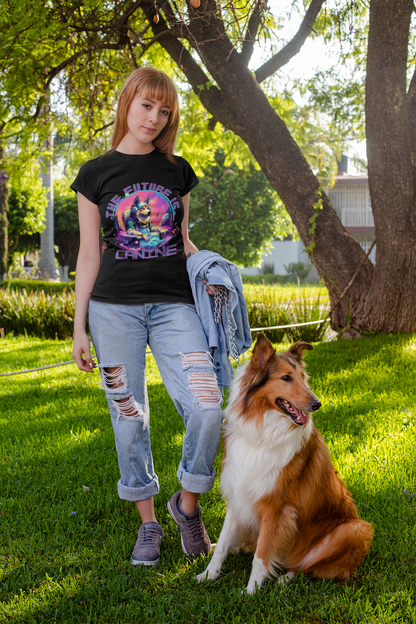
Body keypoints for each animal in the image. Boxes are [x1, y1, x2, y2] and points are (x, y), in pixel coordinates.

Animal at [197, 334, 372, 592]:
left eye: (303, 377)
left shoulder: (277, 507)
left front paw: (250, 591)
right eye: (286, 378)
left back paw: (284, 578)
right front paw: (208, 575)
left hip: (355, 529)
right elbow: (223, 544)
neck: (263, 432)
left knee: (307, 566)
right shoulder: (238, 496)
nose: (317, 404)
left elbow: (261, 555)